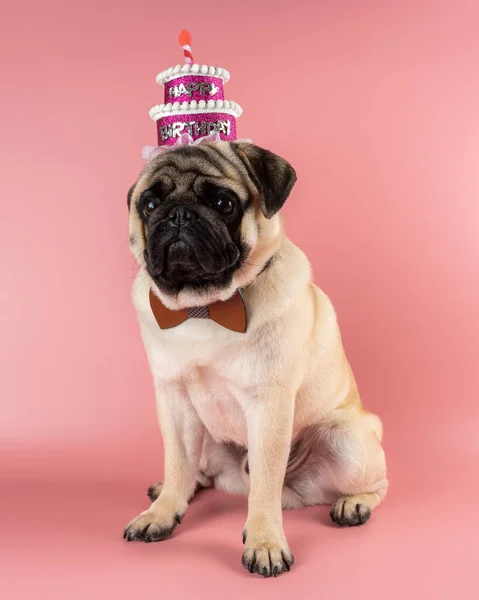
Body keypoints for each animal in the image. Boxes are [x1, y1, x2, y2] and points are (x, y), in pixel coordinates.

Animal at [125, 142, 388, 576]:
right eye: (149, 204)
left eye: (224, 203)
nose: (178, 214)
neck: (206, 308)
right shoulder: (174, 402)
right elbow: (177, 463)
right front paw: (161, 513)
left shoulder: (268, 407)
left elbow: (265, 484)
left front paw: (265, 542)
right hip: (205, 435)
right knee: (194, 470)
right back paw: (175, 489)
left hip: (346, 439)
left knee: (376, 483)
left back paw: (354, 503)